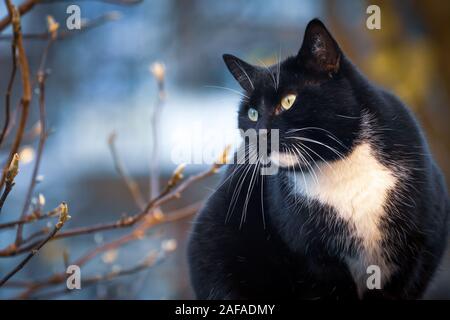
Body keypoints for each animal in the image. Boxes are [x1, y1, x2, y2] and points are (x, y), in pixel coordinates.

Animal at [187, 18, 450, 298]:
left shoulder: (420, 246)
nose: (260, 134)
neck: (341, 168)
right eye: (252, 113)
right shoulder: (315, 260)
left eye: (288, 101)